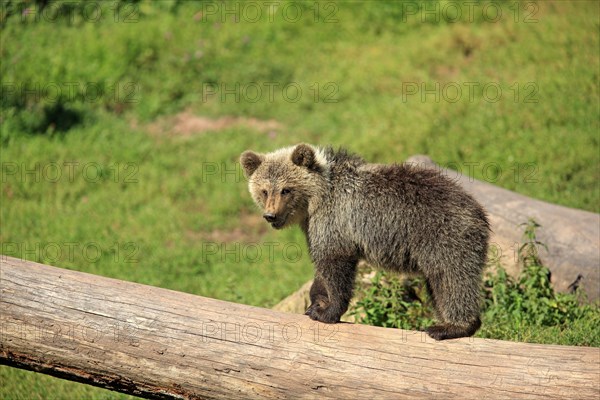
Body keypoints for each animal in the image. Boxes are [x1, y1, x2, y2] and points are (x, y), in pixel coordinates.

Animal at [241, 144, 490, 340]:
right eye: (264, 191)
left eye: (286, 189)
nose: (271, 215)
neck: (316, 200)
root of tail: (479, 212)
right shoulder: (314, 227)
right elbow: (320, 268)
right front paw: (316, 302)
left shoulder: (335, 220)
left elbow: (335, 263)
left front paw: (327, 312)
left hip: (443, 235)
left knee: (451, 278)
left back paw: (450, 327)